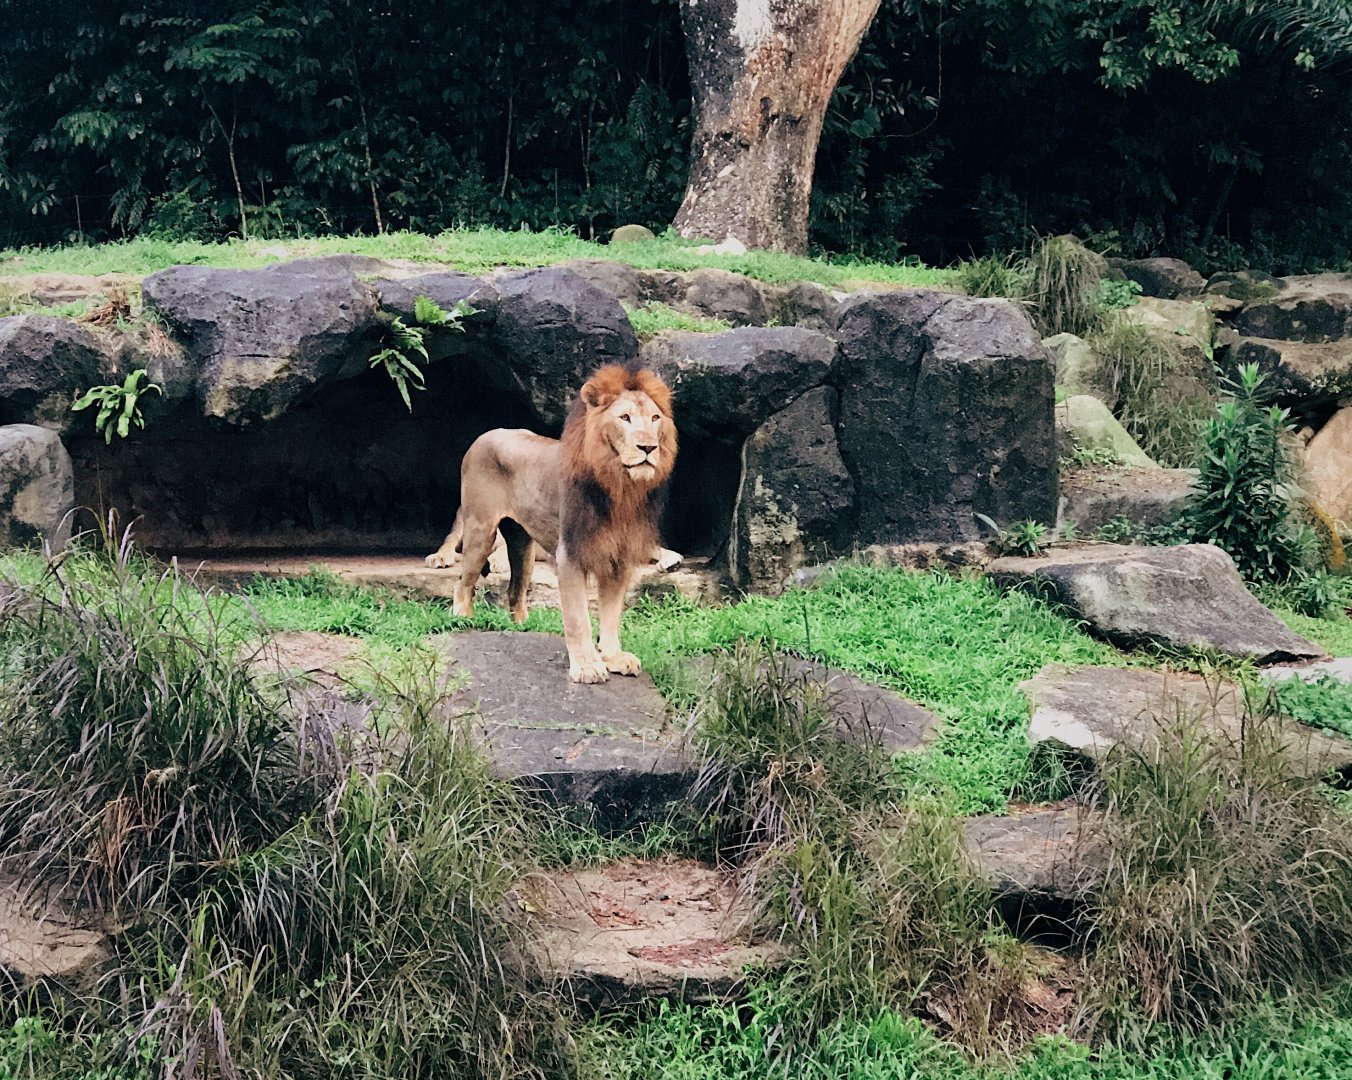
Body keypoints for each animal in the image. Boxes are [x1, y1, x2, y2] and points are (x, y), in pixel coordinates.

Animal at [428, 364, 677, 684]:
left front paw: (613, 657)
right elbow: (578, 618)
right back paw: (462, 619)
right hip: (480, 530)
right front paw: (586, 666)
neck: (620, 488)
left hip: (523, 546)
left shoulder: (618, 559)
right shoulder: (570, 555)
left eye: (655, 418)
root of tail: (486, 433)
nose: (648, 447)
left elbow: (611, 614)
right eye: (624, 418)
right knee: (463, 582)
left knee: (515, 590)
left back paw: (522, 627)